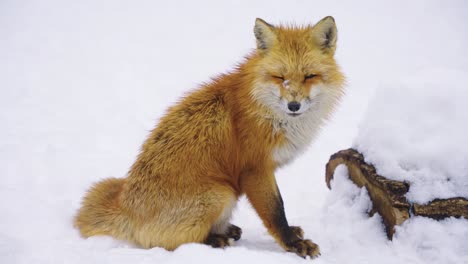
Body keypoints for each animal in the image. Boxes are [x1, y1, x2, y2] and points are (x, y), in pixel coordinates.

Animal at [75, 16, 346, 258]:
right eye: (280, 77)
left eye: (310, 76)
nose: (293, 105)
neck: (263, 109)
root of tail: (125, 205)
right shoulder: (254, 169)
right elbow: (275, 212)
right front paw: (292, 244)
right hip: (221, 193)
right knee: (167, 242)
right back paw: (216, 239)